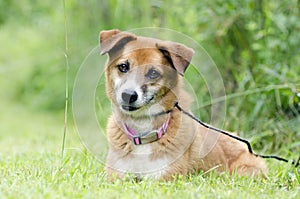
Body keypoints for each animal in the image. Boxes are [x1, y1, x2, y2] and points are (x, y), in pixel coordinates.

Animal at [99, 29, 268, 180]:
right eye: (123, 67)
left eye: (153, 73)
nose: (128, 95)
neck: (143, 132)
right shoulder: (116, 177)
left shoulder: (165, 179)